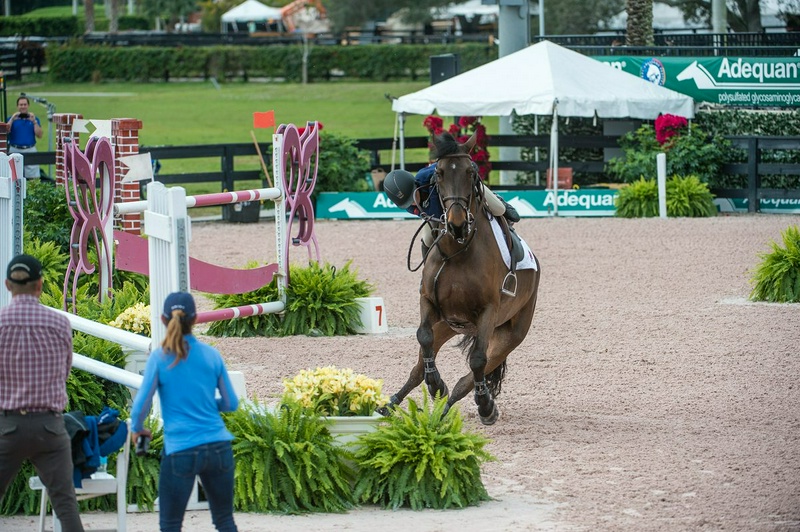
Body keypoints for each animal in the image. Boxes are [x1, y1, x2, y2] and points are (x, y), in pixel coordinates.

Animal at [383, 131, 541, 425]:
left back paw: (472, 409)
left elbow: (477, 361)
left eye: (471, 172)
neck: (456, 251)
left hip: (509, 334)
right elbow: (423, 338)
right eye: (440, 173)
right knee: (419, 366)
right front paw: (435, 383)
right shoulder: (429, 303)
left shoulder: (487, 313)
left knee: (468, 378)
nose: (456, 223)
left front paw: (483, 403)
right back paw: (392, 403)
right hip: (450, 325)